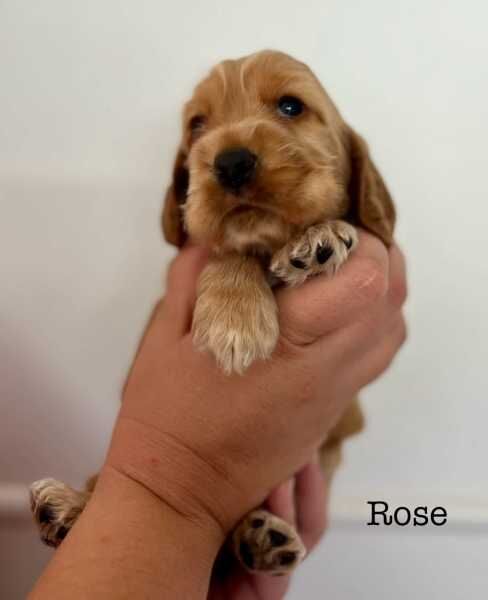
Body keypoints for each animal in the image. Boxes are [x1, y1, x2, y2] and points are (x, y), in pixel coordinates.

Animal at [30, 51, 394, 576]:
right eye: (197, 125)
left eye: (291, 106)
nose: (231, 161)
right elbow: (227, 250)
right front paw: (234, 321)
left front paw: (319, 238)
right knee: (99, 482)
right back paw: (66, 508)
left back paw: (261, 540)